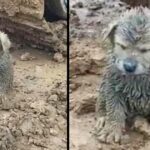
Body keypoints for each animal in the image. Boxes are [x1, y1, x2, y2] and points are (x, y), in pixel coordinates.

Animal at [95, 7, 150, 144]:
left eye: (145, 50)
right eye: (122, 46)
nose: (129, 66)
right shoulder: (112, 85)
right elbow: (114, 109)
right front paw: (111, 130)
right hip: (104, 84)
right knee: (100, 103)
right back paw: (103, 118)